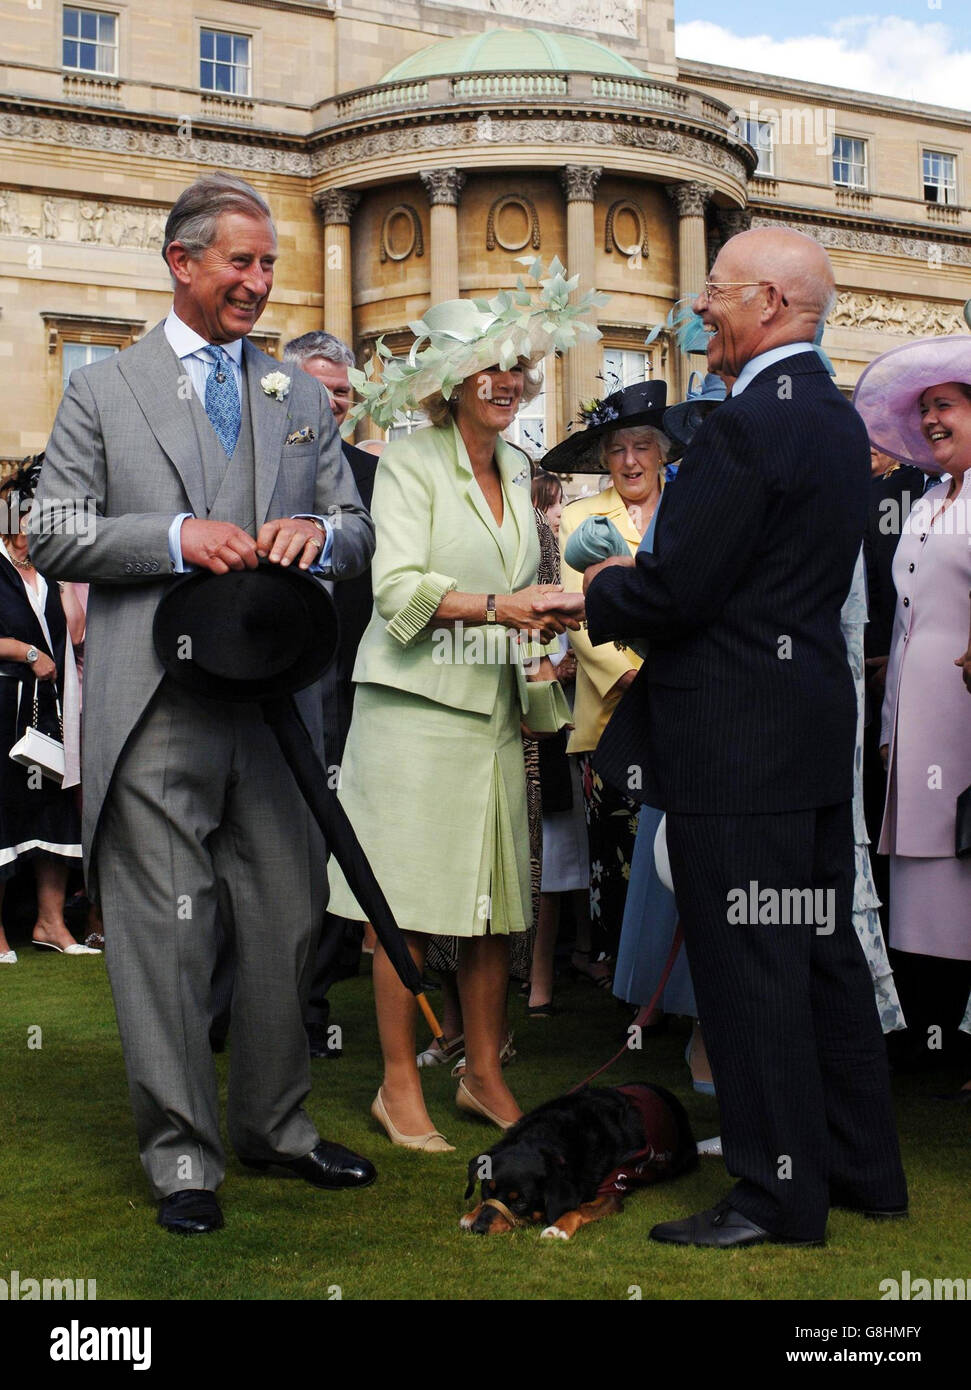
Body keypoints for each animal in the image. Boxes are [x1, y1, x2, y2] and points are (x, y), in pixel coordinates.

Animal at [458, 1084, 694, 1239]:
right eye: (486, 1190)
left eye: (521, 1202)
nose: (479, 1229)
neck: (548, 1136)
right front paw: (472, 1214)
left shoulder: (612, 1188)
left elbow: (579, 1208)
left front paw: (558, 1228)